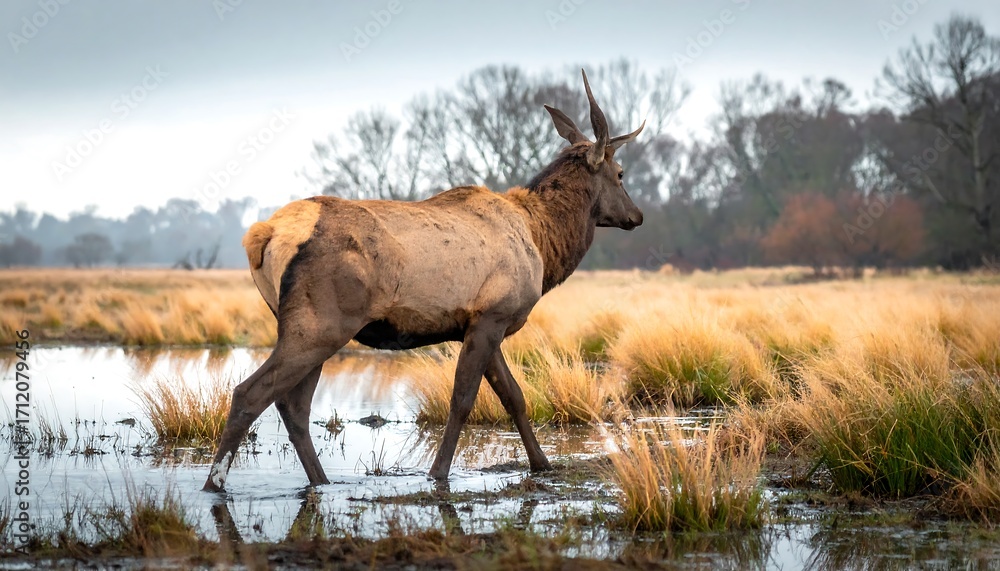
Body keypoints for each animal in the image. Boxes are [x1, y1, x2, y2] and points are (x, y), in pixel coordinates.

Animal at [203, 70, 644, 492]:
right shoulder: (492, 316)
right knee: (250, 394)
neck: (543, 242)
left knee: (293, 406)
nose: (636, 216)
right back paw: (214, 486)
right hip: (319, 324)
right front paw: (438, 473)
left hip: (304, 326)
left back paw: (322, 481)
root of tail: (263, 235)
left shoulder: (480, 322)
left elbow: (514, 396)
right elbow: (463, 400)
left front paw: (542, 465)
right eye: (621, 173)